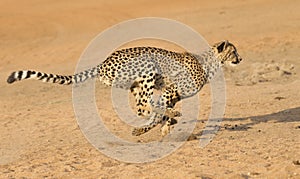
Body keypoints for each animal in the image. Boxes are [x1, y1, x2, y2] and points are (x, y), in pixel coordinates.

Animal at [6, 40, 241, 136]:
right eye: (234, 51)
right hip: (147, 70)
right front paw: (164, 124)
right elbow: (160, 111)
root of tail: (104, 62)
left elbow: (161, 114)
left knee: (141, 107)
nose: (240, 58)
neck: (209, 63)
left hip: (134, 85)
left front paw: (161, 127)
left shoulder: (173, 94)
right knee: (143, 106)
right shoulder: (171, 89)